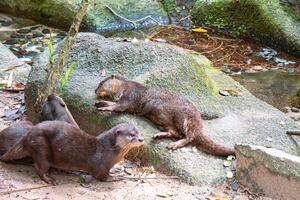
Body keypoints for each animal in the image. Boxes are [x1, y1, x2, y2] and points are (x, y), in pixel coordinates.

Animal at [0, 120, 144, 184]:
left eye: (139, 132)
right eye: (131, 134)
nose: (141, 139)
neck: (108, 149)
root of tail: (26, 136)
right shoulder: (101, 166)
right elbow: (102, 176)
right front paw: (116, 177)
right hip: (41, 146)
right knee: (39, 166)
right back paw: (49, 179)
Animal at [95, 74, 236, 156]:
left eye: (101, 83)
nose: (95, 90)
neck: (124, 87)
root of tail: (198, 121)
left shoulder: (130, 96)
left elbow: (119, 107)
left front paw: (105, 107)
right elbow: (114, 103)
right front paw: (100, 103)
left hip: (184, 118)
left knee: (189, 137)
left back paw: (174, 144)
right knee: (175, 132)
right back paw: (159, 135)